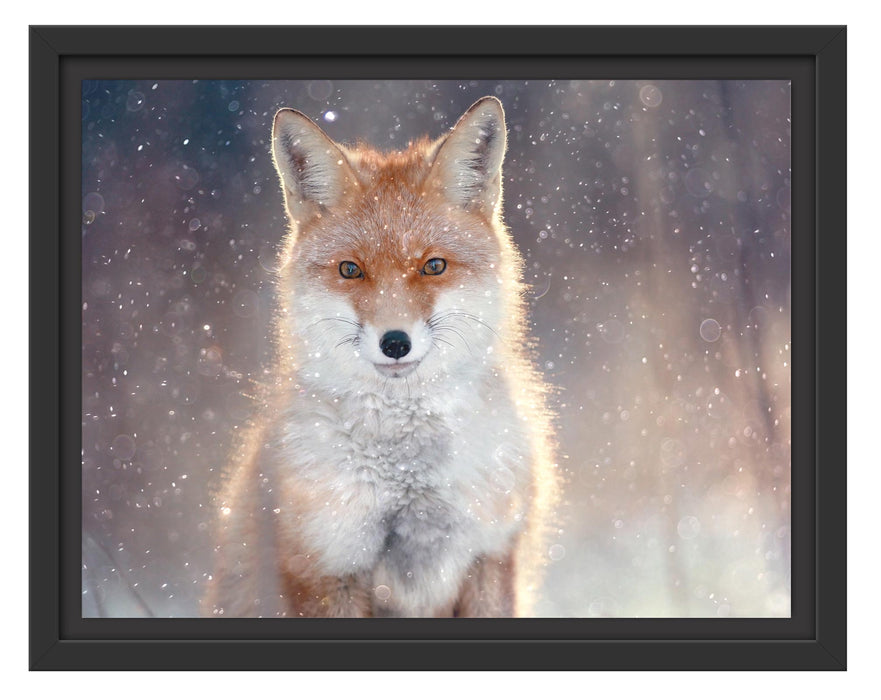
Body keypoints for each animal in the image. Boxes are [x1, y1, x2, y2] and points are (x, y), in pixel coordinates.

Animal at [204, 96, 559, 618]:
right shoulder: (326, 564)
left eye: (433, 266)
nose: (395, 343)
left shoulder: (491, 554)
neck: (408, 476)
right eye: (351, 270)